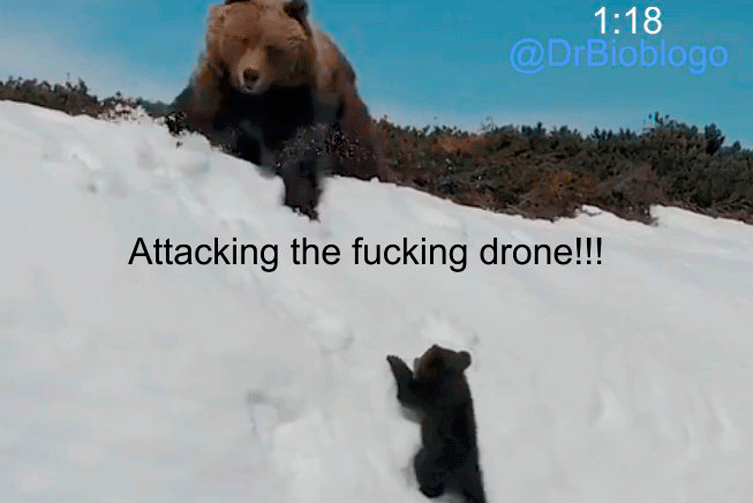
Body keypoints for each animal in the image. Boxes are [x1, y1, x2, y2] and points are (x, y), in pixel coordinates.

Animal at [169, 0, 389, 219]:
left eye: (271, 47)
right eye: (243, 39)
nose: (250, 75)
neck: (259, 99)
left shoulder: (297, 104)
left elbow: (300, 155)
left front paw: (301, 202)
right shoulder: (219, 89)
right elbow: (199, 117)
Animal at [386, 345, 487, 503]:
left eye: (424, 355)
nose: (416, 358)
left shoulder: (429, 396)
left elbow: (407, 394)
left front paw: (394, 359)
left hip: (430, 459)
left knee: (425, 474)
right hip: (474, 472)